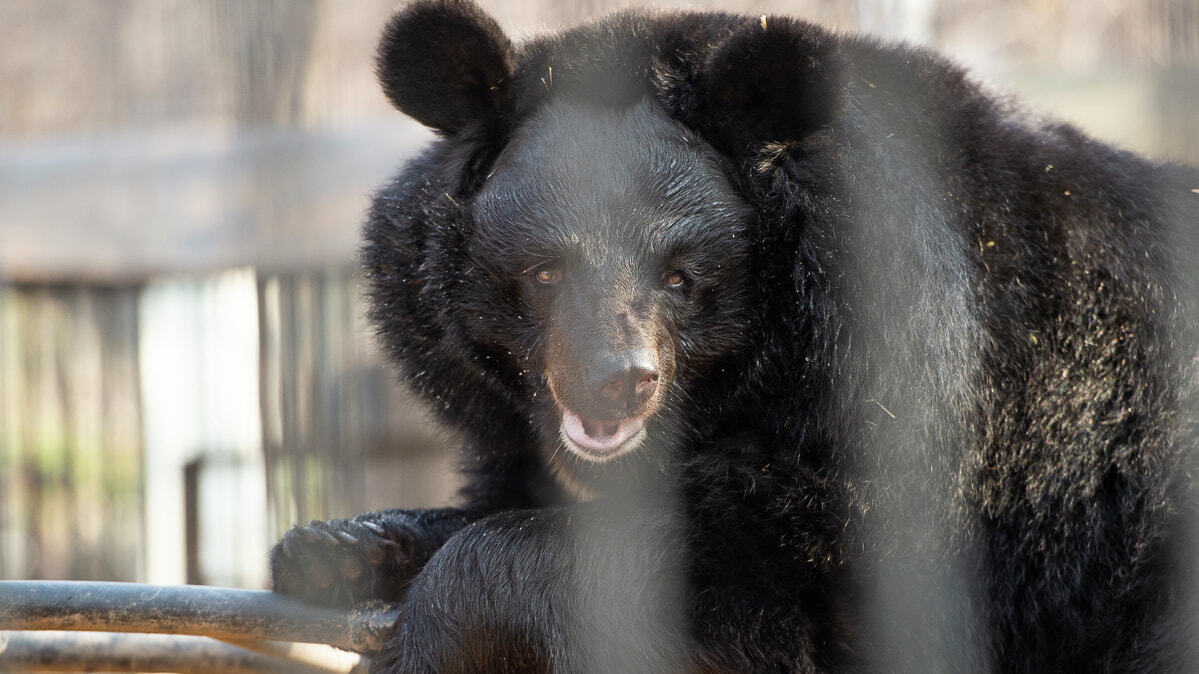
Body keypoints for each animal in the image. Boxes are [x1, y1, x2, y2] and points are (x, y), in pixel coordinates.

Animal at [272, 2, 1199, 666]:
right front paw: (333, 550)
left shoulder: (916, 448)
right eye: (544, 273)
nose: (617, 379)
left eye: (680, 278)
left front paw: (420, 640)